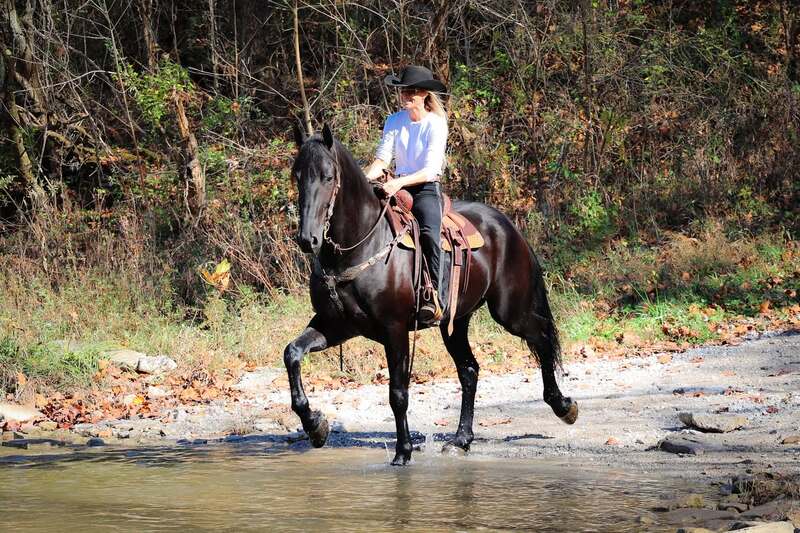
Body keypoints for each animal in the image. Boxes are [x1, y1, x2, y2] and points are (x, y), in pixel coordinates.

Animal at [284, 122, 580, 464]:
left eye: (328, 176)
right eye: (297, 175)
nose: (308, 238)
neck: (361, 245)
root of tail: (507, 226)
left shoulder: (395, 328)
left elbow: (398, 393)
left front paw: (403, 451)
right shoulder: (337, 325)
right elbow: (292, 353)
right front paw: (316, 426)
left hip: (511, 311)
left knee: (542, 339)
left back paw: (564, 406)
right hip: (456, 322)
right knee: (469, 370)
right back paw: (461, 439)